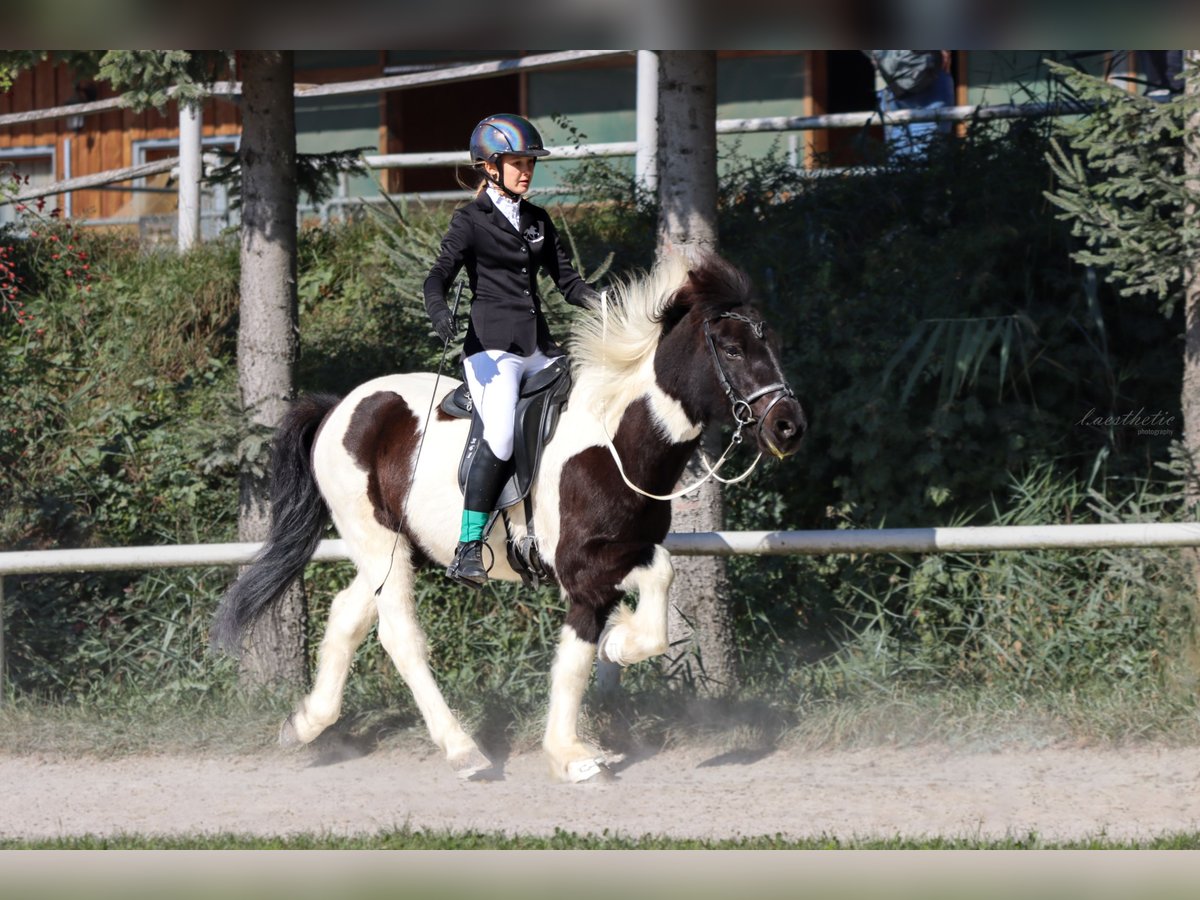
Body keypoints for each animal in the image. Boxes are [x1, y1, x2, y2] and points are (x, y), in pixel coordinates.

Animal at [212, 252, 811, 782]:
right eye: (731, 349)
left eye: (774, 345)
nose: (789, 427)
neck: (616, 439)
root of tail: (339, 406)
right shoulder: (581, 566)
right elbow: (622, 615)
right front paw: (609, 668)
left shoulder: (613, 561)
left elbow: (589, 646)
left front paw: (574, 739)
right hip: (380, 544)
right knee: (399, 635)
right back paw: (462, 750)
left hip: (398, 551)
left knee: (347, 616)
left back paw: (306, 724)